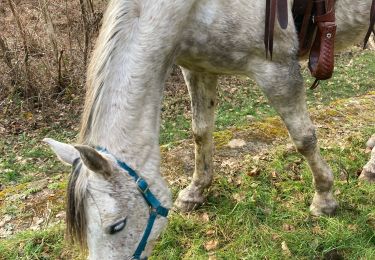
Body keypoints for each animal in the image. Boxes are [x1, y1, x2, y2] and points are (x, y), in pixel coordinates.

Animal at [43, 0, 374, 258]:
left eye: (117, 226)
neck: (193, 8)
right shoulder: (197, 68)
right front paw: (195, 191)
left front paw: (324, 198)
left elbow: (304, 139)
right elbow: (200, 133)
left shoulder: (277, 72)